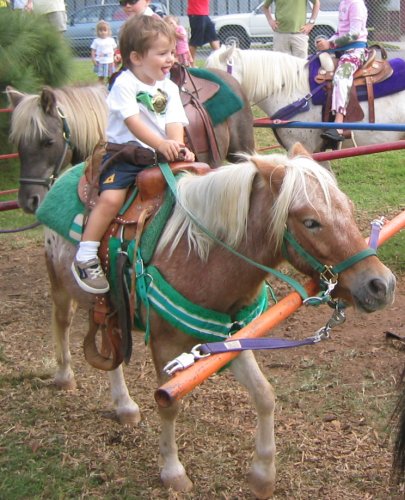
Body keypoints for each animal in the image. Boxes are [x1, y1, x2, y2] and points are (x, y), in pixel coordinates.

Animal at [39, 144, 392, 496]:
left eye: (348, 207)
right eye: (310, 222)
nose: (381, 285)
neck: (198, 256)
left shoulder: (231, 338)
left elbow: (264, 395)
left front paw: (263, 474)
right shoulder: (166, 346)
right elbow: (169, 406)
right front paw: (173, 471)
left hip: (112, 309)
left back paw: (124, 405)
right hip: (60, 286)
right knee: (62, 323)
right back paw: (64, 375)